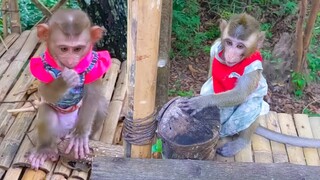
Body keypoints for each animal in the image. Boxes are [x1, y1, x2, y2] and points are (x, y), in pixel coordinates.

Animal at [27, 8, 112, 169]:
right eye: (64, 49)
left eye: (77, 49)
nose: (71, 60)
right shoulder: (41, 64)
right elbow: (44, 91)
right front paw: (64, 81)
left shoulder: (93, 62)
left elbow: (93, 95)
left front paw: (80, 135)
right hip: (57, 132)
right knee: (46, 110)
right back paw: (44, 149)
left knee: (100, 105)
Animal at [179, 13, 320, 156]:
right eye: (229, 43)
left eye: (240, 46)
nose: (230, 55)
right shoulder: (215, 47)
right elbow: (210, 78)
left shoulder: (253, 67)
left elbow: (241, 94)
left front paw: (201, 102)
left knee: (250, 104)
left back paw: (241, 141)